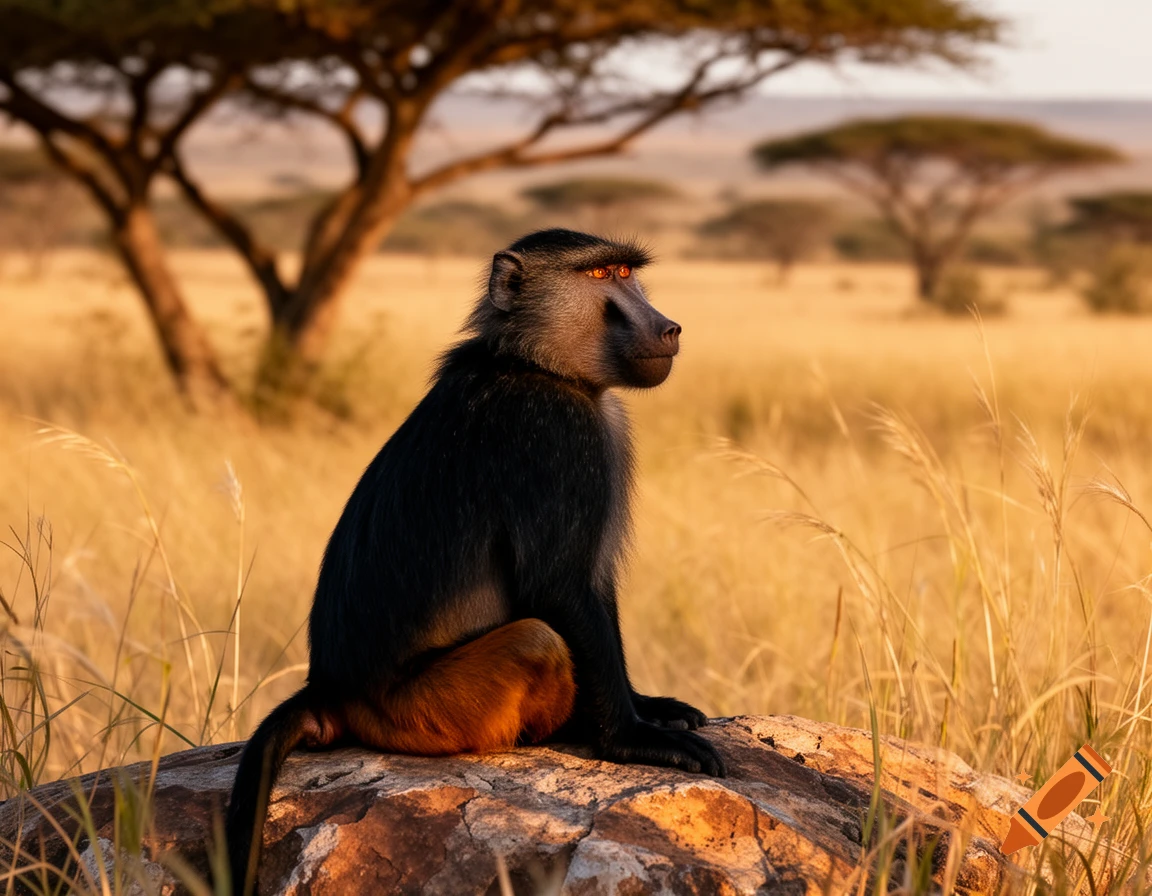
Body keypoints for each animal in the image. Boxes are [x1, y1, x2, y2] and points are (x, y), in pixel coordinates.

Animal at [224, 228, 724, 895]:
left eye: (625, 271)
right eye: (600, 276)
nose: (668, 327)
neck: (528, 359)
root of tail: (331, 689)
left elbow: (591, 586)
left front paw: (649, 708)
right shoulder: (558, 429)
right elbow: (560, 590)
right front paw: (630, 737)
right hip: (425, 710)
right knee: (537, 638)